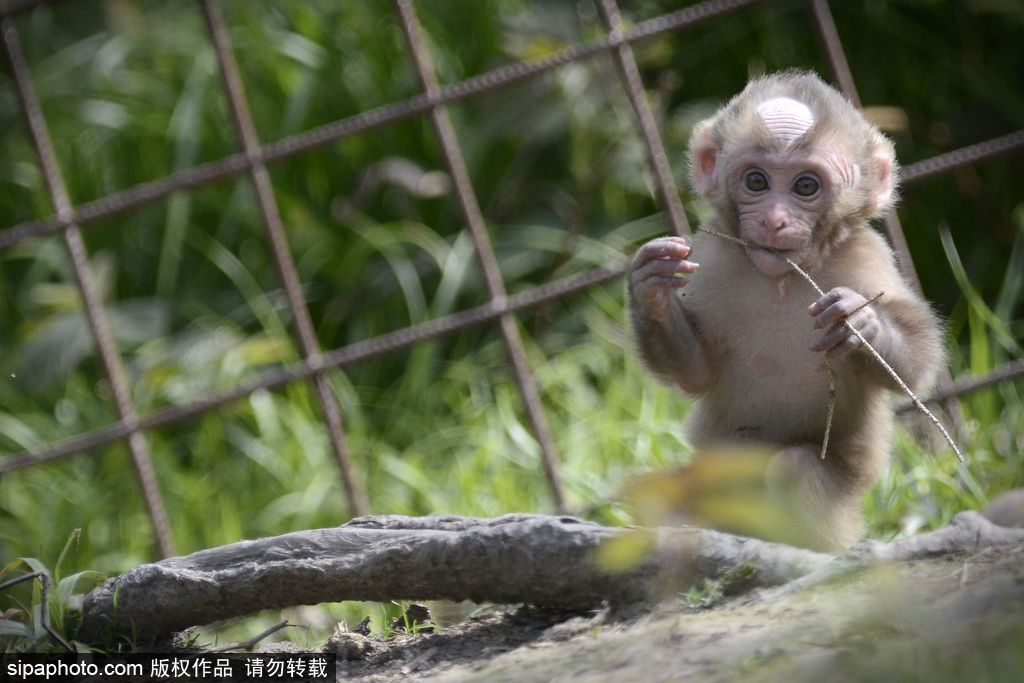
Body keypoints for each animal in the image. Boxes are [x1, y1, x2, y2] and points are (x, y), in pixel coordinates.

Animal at [626, 70, 946, 548]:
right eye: (756, 182)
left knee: (796, 470)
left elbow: (915, 367)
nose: (774, 220)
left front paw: (859, 322)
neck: (783, 280)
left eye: (805, 186)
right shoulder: (714, 257)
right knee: (654, 491)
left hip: (841, 515)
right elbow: (697, 371)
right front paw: (652, 289)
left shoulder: (868, 258)